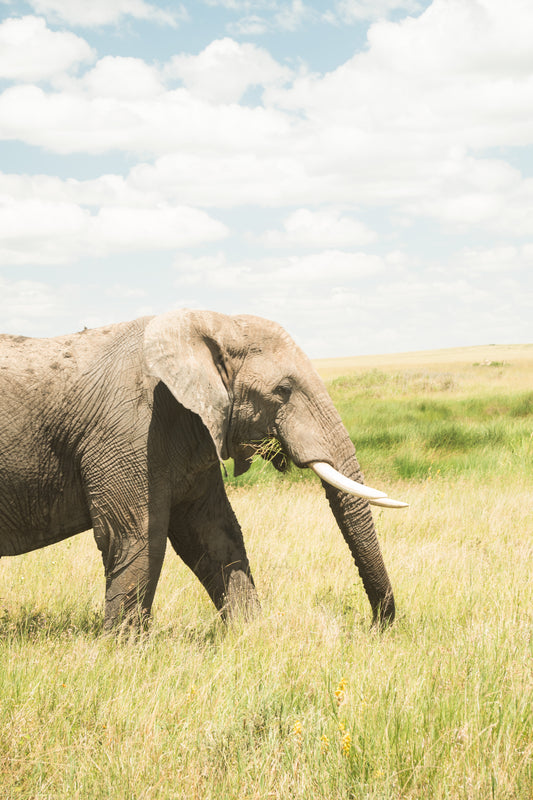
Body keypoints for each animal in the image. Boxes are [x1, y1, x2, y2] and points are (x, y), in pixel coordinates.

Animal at [0, 310, 406, 632]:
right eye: (283, 390)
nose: (373, 627)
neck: (210, 325)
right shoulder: (128, 431)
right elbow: (136, 535)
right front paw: (123, 651)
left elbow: (214, 533)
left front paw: (250, 636)